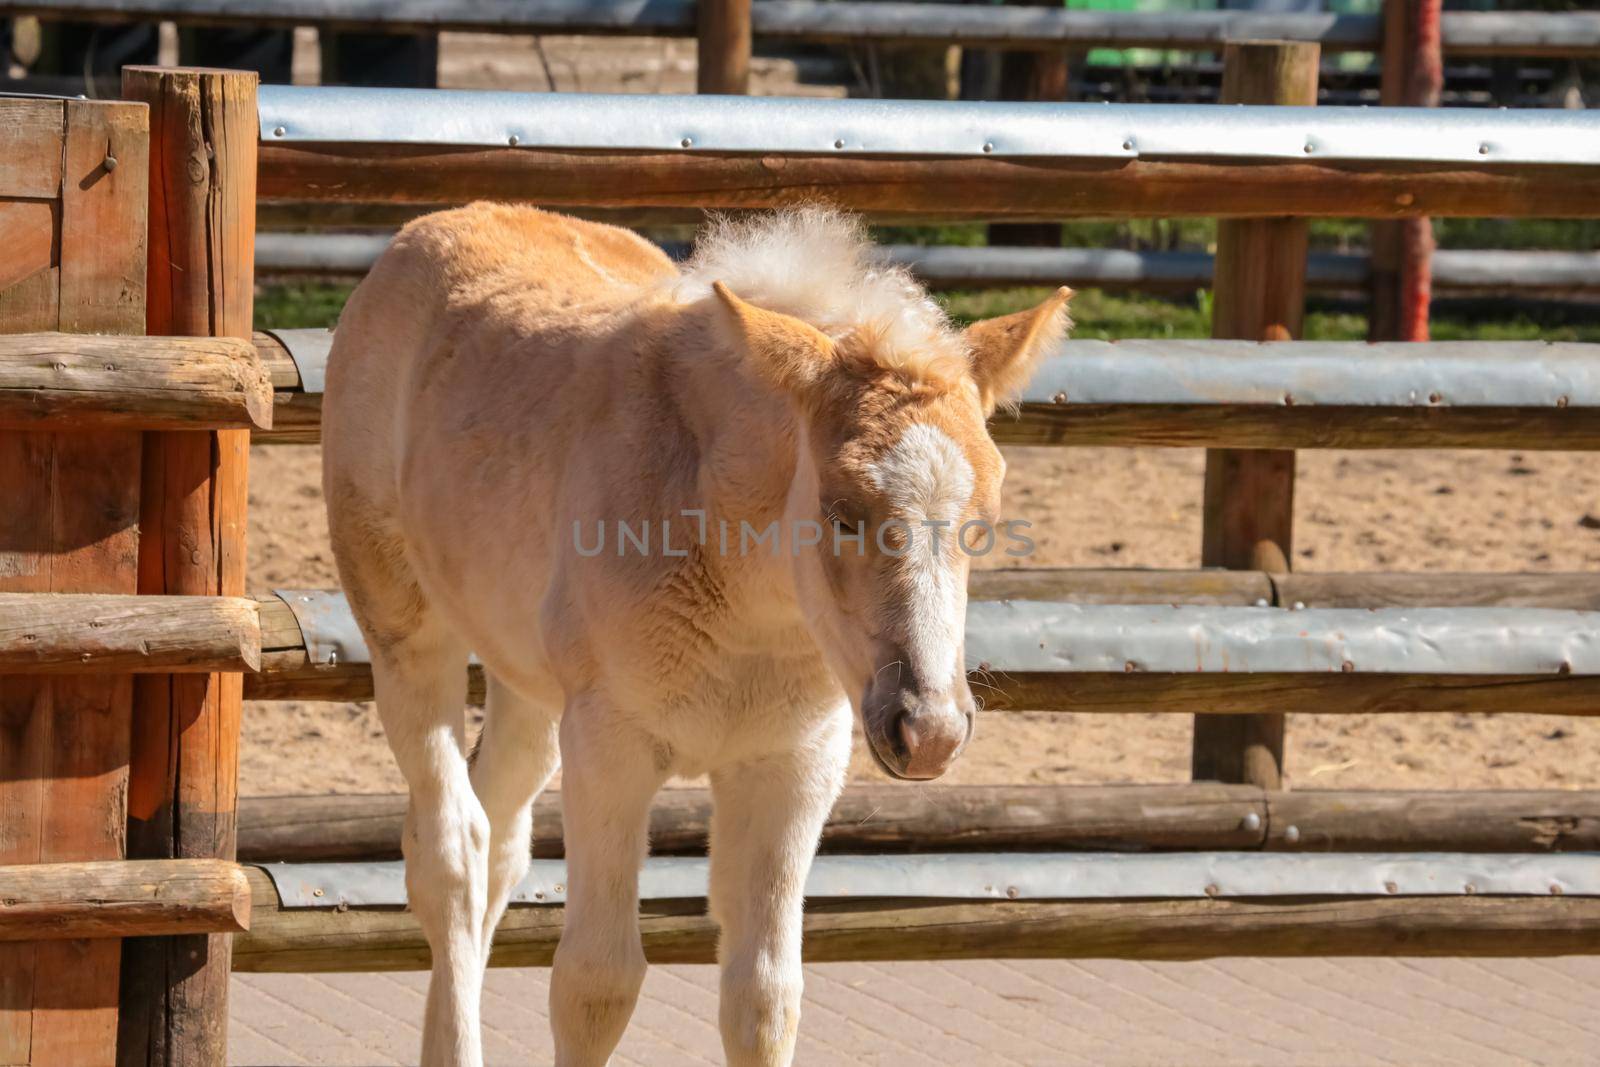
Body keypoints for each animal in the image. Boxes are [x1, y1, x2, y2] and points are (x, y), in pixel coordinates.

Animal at [321, 204, 1075, 1062]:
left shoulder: (793, 763)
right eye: (843, 512)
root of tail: (436, 223)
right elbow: (596, 981)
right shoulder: (610, 747)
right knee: (450, 850)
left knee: (501, 838)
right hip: (406, 627)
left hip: (529, 683)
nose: (930, 732)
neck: (750, 605)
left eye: (984, 525)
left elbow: (765, 993)